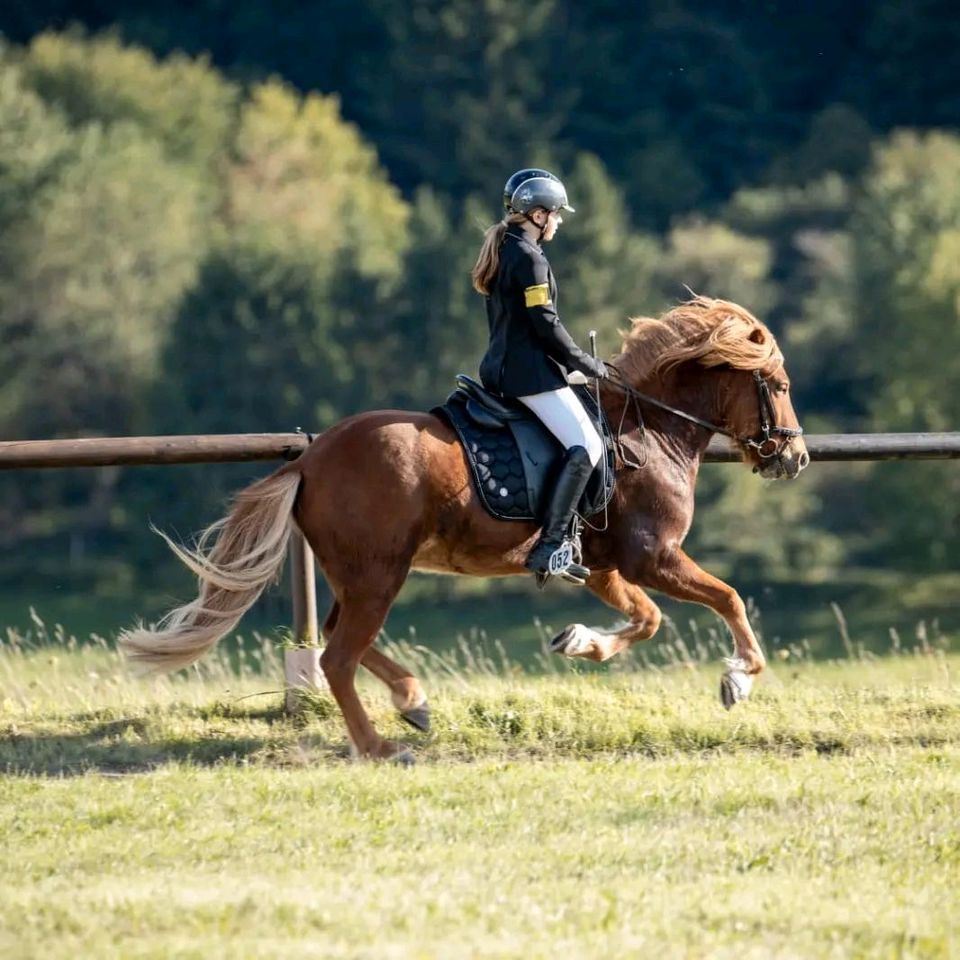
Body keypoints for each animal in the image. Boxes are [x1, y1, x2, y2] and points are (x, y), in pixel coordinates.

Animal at [122, 296, 808, 760]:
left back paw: (413, 702)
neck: (649, 429)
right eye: (777, 384)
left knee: (343, 640)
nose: (795, 458)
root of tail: (309, 460)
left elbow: (647, 619)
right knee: (340, 655)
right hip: (379, 574)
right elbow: (728, 597)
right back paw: (381, 746)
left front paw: (579, 642)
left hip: (362, 575)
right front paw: (739, 678)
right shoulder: (653, 557)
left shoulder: (606, 567)